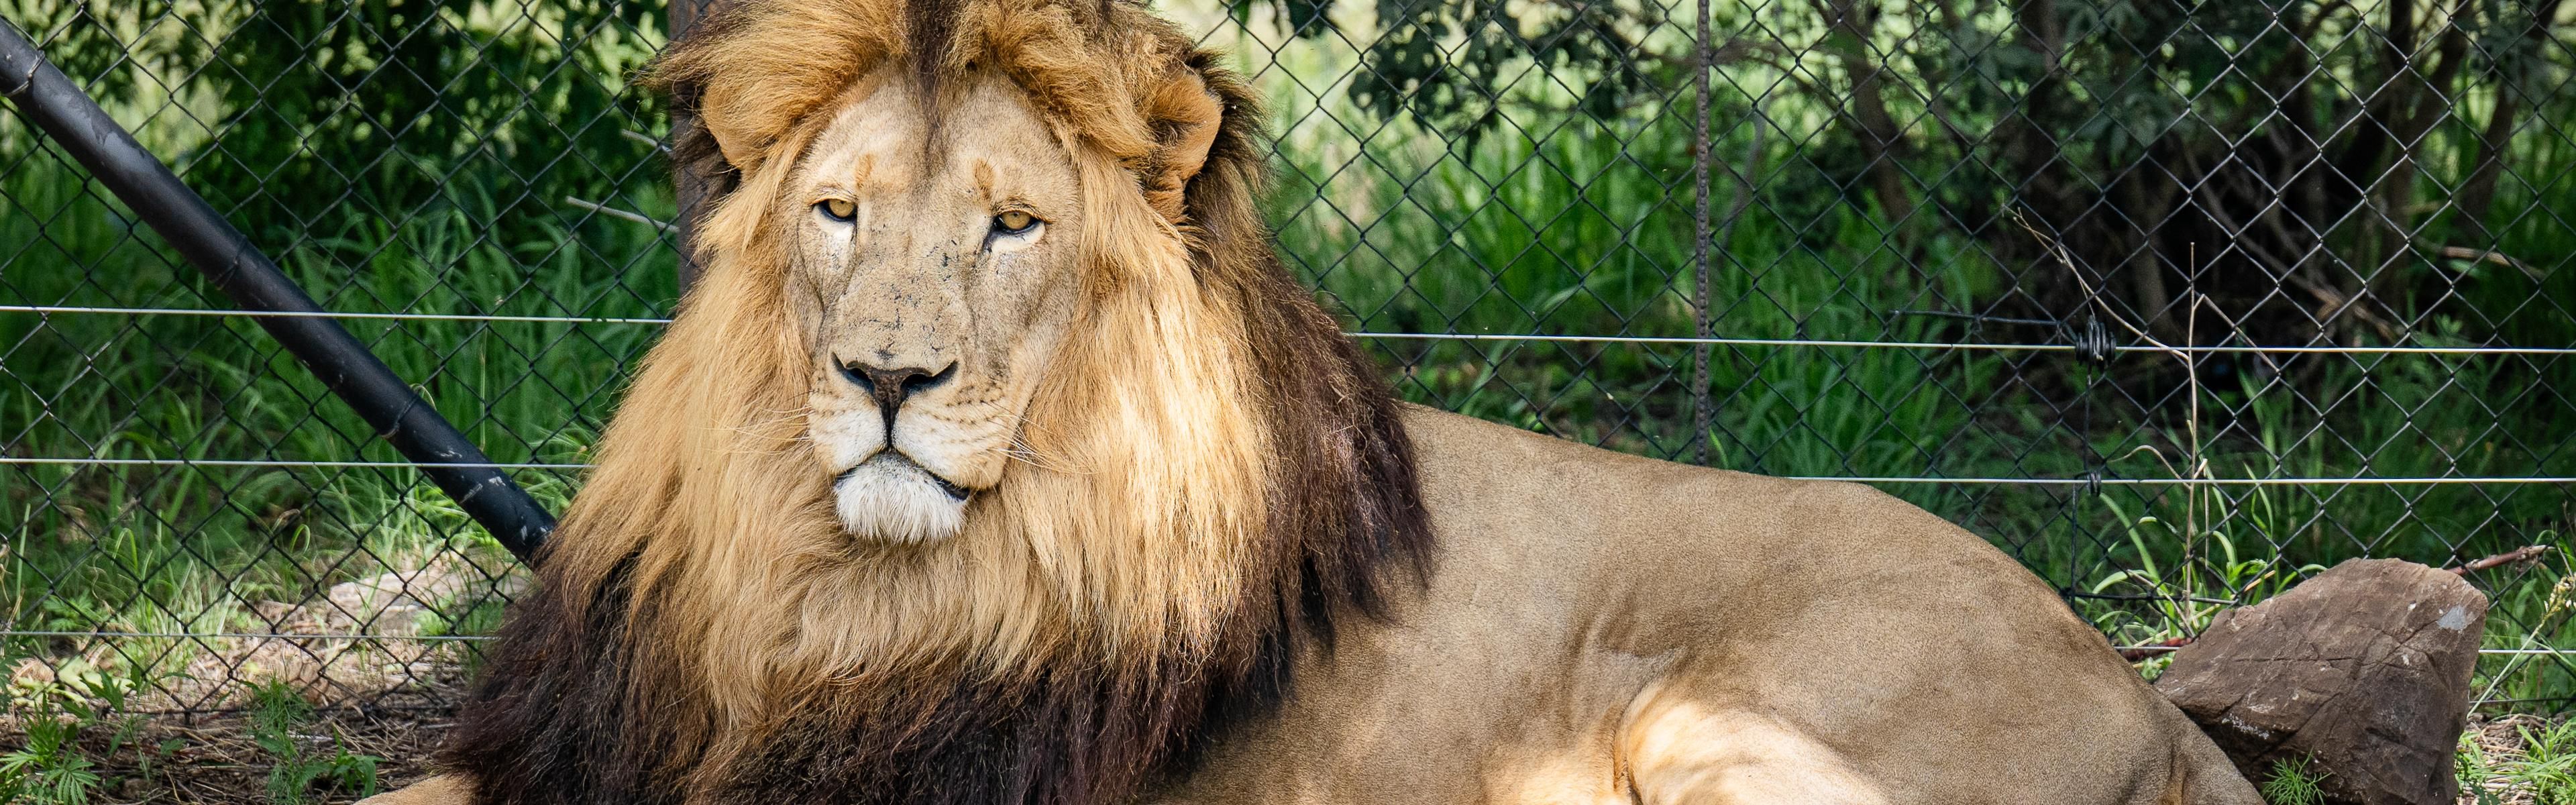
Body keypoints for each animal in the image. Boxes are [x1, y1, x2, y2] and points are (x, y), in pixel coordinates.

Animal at [359, 0, 2262, 802]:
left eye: (1012, 226)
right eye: (836, 213)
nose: (886, 379)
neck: (853, 591)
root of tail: (2142, 690)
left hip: (1727, 729)